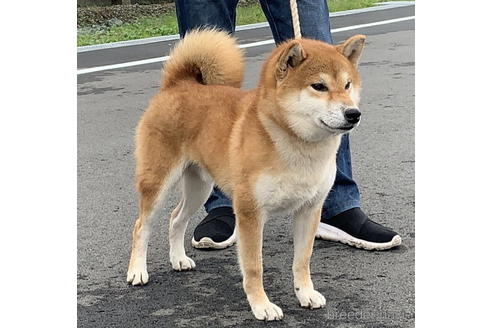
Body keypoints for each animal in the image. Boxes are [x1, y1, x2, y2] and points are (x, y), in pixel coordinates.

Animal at [127, 28, 366, 320]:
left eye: (347, 85)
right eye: (318, 86)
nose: (353, 113)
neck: (295, 145)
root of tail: (178, 85)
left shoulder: (309, 209)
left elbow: (302, 260)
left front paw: (305, 294)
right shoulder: (250, 212)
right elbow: (254, 266)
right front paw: (261, 305)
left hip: (199, 187)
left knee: (176, 218)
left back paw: (178, 259)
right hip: (158, 181)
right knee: (142, 226)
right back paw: (137, 271)